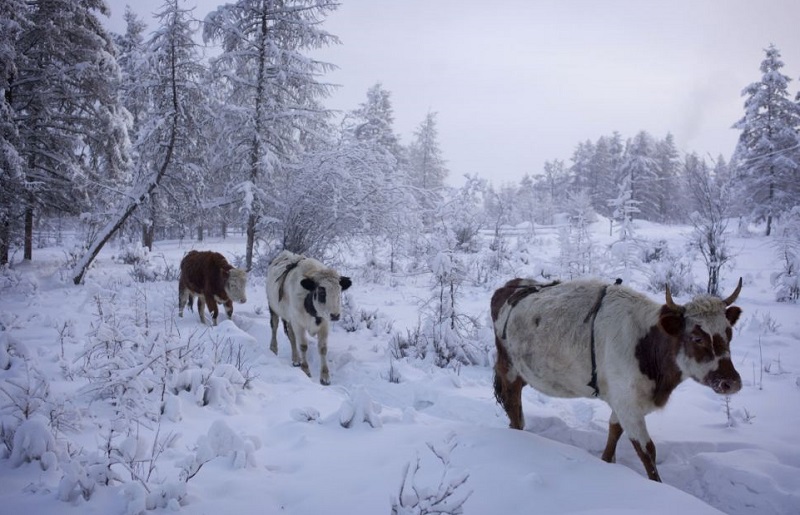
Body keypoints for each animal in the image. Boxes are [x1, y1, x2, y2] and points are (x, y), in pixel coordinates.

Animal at [268, 252, 352, 384]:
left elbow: (323, 349)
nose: (335, 315)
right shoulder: (298, 323)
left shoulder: (324, 325)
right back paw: (273, 349)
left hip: (289, 318)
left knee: (291, 336)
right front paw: (306, 370)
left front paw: (325, 377)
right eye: (322, 292)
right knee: (274, 327)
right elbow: (303, 346)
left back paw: (296, 359)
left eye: (339, 292)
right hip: (273, 308)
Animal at [490, 278, 748, 484]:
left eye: (729, 334)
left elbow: (614, 431)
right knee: (512, 404)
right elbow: (647, 451)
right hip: (509, 369)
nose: (731, 382)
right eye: (697, 338)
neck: (646, 346)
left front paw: (606, 462)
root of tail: (511, 285)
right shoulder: (628, 404)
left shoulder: (623, 401)